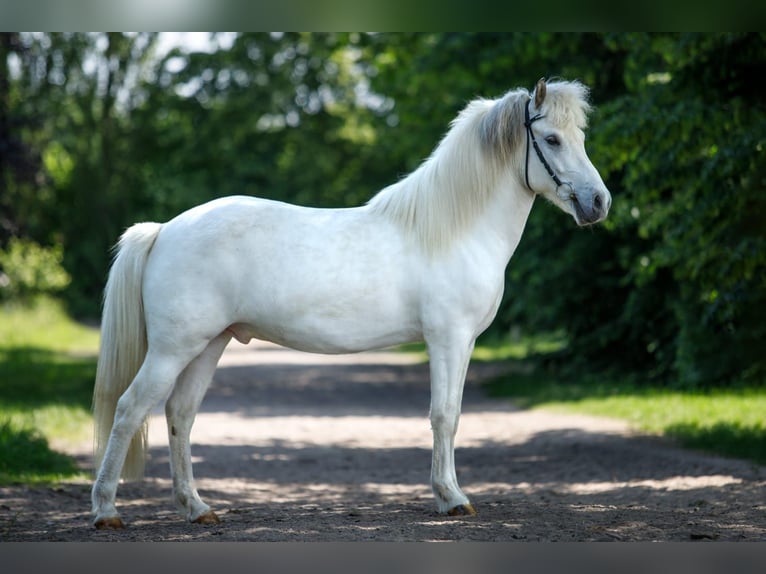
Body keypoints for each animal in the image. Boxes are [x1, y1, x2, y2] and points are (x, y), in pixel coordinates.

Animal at [90, 77, 612, 532]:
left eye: (581, 136)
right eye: (551, 139)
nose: (599, 202)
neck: (453, 229)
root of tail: (164, 230)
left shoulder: (463, 344)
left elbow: (455, 414)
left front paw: (450, 493)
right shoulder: (447, 339)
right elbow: (442, 416)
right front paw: (451, 498)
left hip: (208, 345)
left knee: (180, 414)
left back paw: (197, 508)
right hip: (173, 349)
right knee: (130, 408)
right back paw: (106, 511)